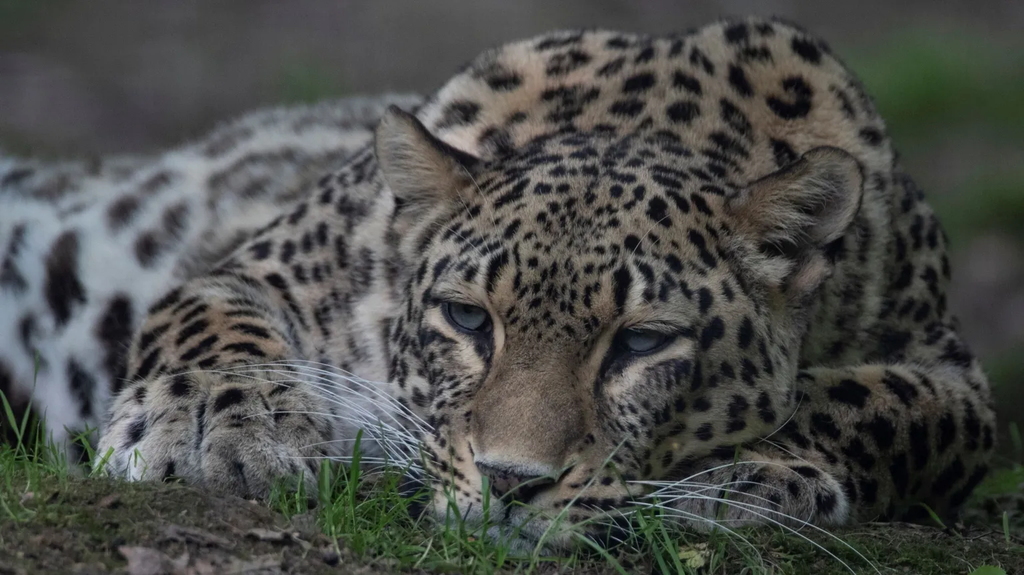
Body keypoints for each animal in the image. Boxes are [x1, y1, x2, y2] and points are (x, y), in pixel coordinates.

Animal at [3, 17, 996, 553]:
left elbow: (886, 404)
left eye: (642, 341)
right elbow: (209, 332)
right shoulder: (263, 265)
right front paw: (218, 429)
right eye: (466, 318)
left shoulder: (951, 372)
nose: (512, 484)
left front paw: (752, 472)